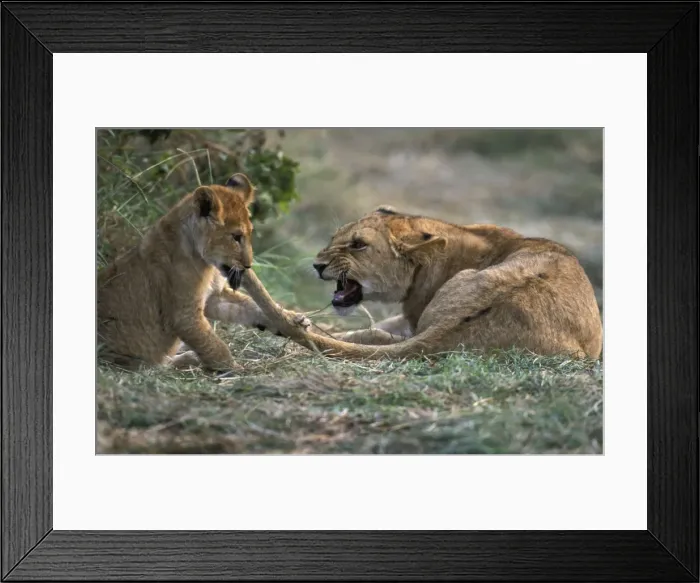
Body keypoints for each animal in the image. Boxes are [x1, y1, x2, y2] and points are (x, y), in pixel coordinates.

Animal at [97, 173, 307, 371]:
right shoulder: (184, 315)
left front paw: (290, 319)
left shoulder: (213, 297)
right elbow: (214, 345)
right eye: (236, 237)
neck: (207, 264)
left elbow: (247, 305)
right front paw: (238, 370)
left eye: (249, 234)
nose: (248, 266)